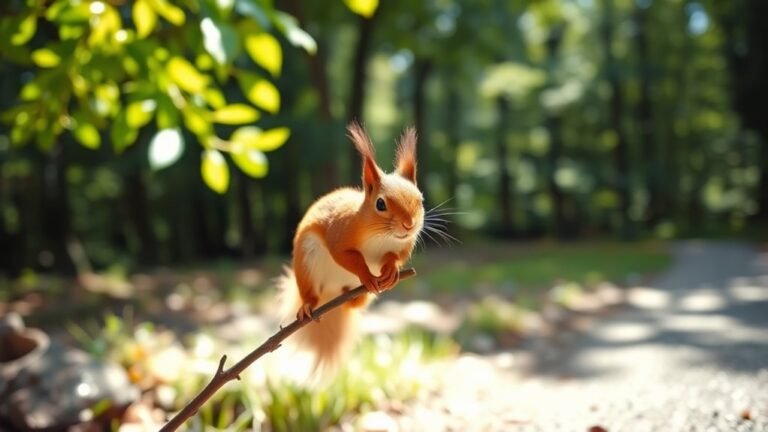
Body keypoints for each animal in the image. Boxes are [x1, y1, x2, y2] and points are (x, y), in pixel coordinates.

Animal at [278, 122, 424, 377]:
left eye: (421, 200)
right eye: (380, 204)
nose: (410, 225)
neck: (382, 236)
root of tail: (331, 294)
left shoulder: (404, 245)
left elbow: (396, 256)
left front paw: (391, 270)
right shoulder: (340, 232)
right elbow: (345, 256)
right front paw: (367, 274)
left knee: (353, 304)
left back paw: (357, 295)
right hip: (307, 263)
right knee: (310, 294)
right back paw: (308, 305)